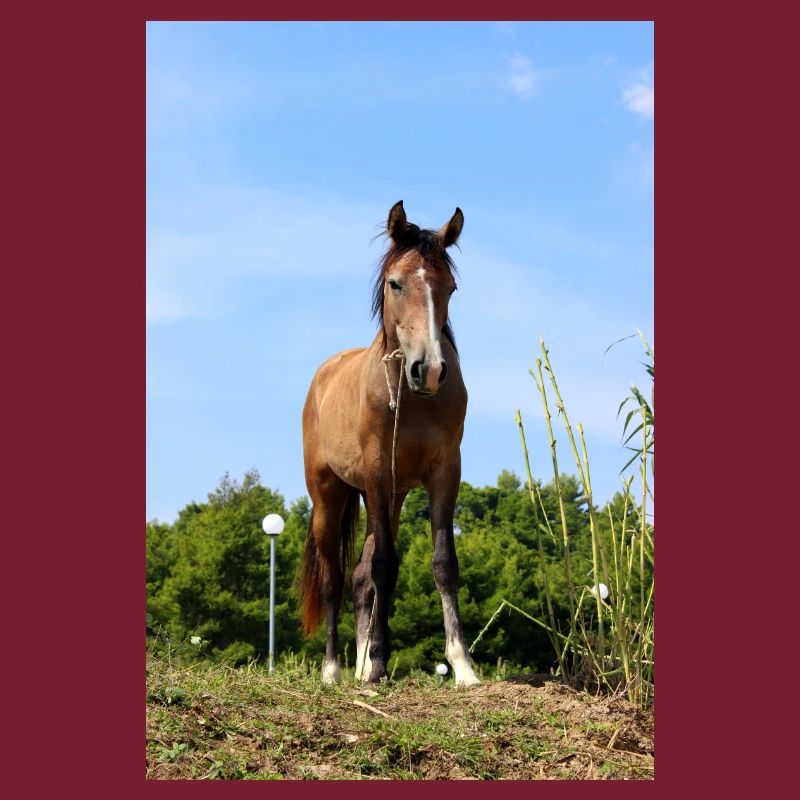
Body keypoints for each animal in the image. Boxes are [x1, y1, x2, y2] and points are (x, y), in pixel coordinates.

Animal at [299, 200, 480, 687]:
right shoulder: (379, 473)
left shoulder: (444, 473)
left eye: (450, 287)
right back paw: (333, 669)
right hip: (330, 497)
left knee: (360, 578)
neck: (412, 399)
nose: (429, 370)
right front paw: (379, 662)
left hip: (390, 498)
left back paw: (360, 664)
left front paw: (462, 664)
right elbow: (384, 564)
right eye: (396, 283)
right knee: (335, 579)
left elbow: (442, 563)